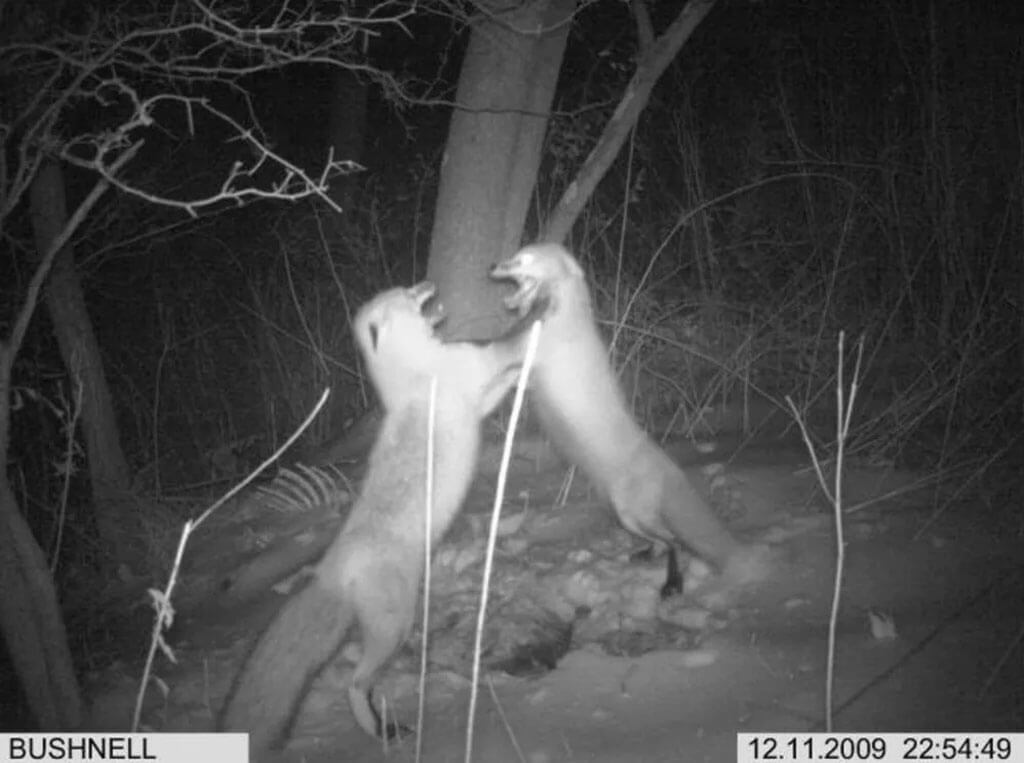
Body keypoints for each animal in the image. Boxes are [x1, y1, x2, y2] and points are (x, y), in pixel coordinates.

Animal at [220, 281, 543, 753]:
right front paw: (539, 313)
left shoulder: (478, 395)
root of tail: (331, 571)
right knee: (355, 683)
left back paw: (383, 727)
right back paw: (379, 729)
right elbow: (509, 348)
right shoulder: (475, 375)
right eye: (407, 295)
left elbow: (510, 371)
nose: (428, 285)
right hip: (396, 624)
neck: (413, 376)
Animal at [490, 243, 770, 599]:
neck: (564, 318)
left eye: (523, 260)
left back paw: (672, 583)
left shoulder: (530, 357)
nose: (492, 266)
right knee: (664, 542)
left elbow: (496, 352)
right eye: (515, 255)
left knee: (674, 540)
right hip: (621, 513)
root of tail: (669, 468)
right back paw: (647, 556)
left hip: (630, 514)